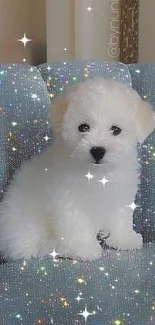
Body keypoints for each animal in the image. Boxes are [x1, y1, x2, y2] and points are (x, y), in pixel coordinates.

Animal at [0, 76, 154, 260]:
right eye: (83, 127)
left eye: (116, 130)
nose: (97, 150)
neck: (97, 174)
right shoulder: (67, 198)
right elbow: (76, 224)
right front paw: (84, 249)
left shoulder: (119, 192)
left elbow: (121, 216)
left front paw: (124, 239)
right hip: (26, 226)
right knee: (34, 247)